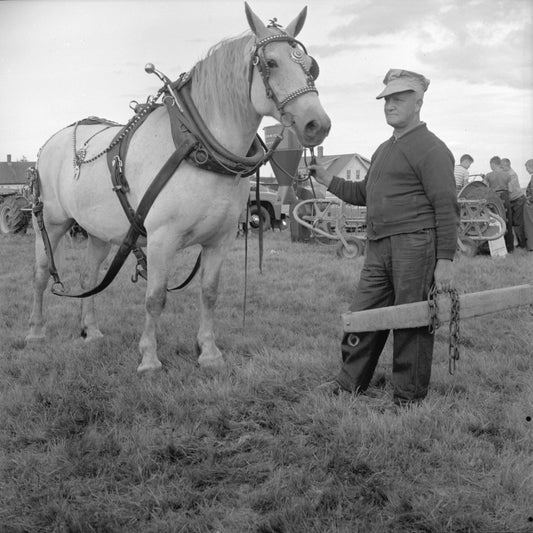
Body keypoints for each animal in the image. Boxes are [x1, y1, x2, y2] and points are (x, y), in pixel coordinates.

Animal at [29, 2, 330, 372]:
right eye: (271, 63)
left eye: (310, 66)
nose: (318, 124)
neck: (196, 144)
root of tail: (50, 143)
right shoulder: (162, 239)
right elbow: (155, 298)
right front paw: (149, 358)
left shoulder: (221, 239)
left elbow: (210, 293)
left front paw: (209, 352)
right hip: (52, 222)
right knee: (41, 273)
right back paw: (36, 332)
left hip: (97, 230)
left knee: (89, 277)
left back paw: (92, 331)